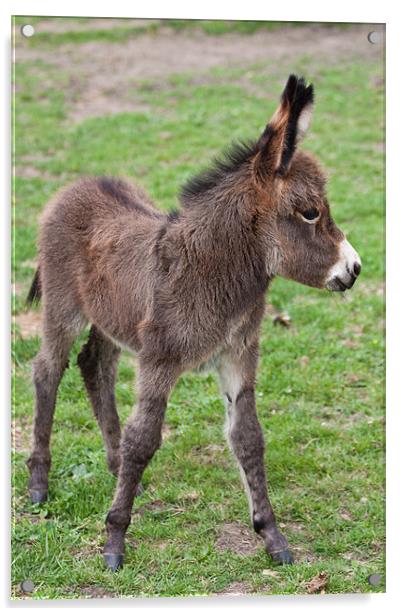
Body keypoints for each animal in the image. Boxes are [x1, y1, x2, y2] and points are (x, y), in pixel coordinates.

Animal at [26, 74, 362, 572]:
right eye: (309, 212)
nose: (355, 269)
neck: (213, 273)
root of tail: (80, 185)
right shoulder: (159, 362)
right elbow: (144, 439)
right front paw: (114, 542)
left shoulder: (238, 355)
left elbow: (248, 438)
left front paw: (272, 536)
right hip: (63, 308)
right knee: (48, 370)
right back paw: (39, 484)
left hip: (113, 320)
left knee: (95, 365)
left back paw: (115, 468)